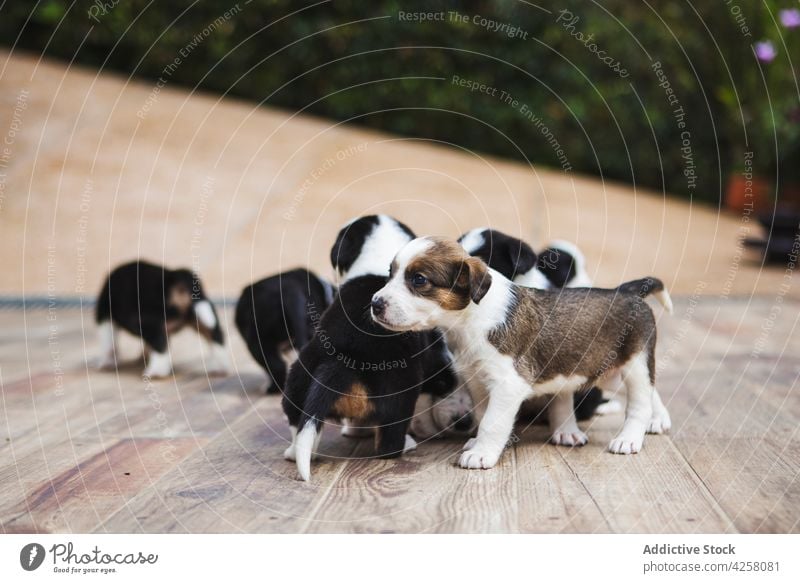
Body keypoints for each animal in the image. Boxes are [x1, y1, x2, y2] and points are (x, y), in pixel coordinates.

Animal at [97, 260, 230, 378]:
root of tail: (175, 276)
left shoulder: (105, 316)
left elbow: (109, 343)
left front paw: (107, 363)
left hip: (150, 321)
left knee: (159, 346)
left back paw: (156, 372)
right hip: (200, 315)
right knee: (216, 335)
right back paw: (220, 368)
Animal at [372, 237, 672, 470]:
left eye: (419, 279)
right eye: (390, 273)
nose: (375, 304)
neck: (469, 318)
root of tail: (626, 291)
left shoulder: (507, 384)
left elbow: (492, 422)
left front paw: (481, 454)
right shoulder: (478, 382)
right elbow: (482, 416)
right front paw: (478, 443)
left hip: (634, 364)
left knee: (640, 403)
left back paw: (631, 437)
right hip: (607, 371)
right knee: (650, 392)